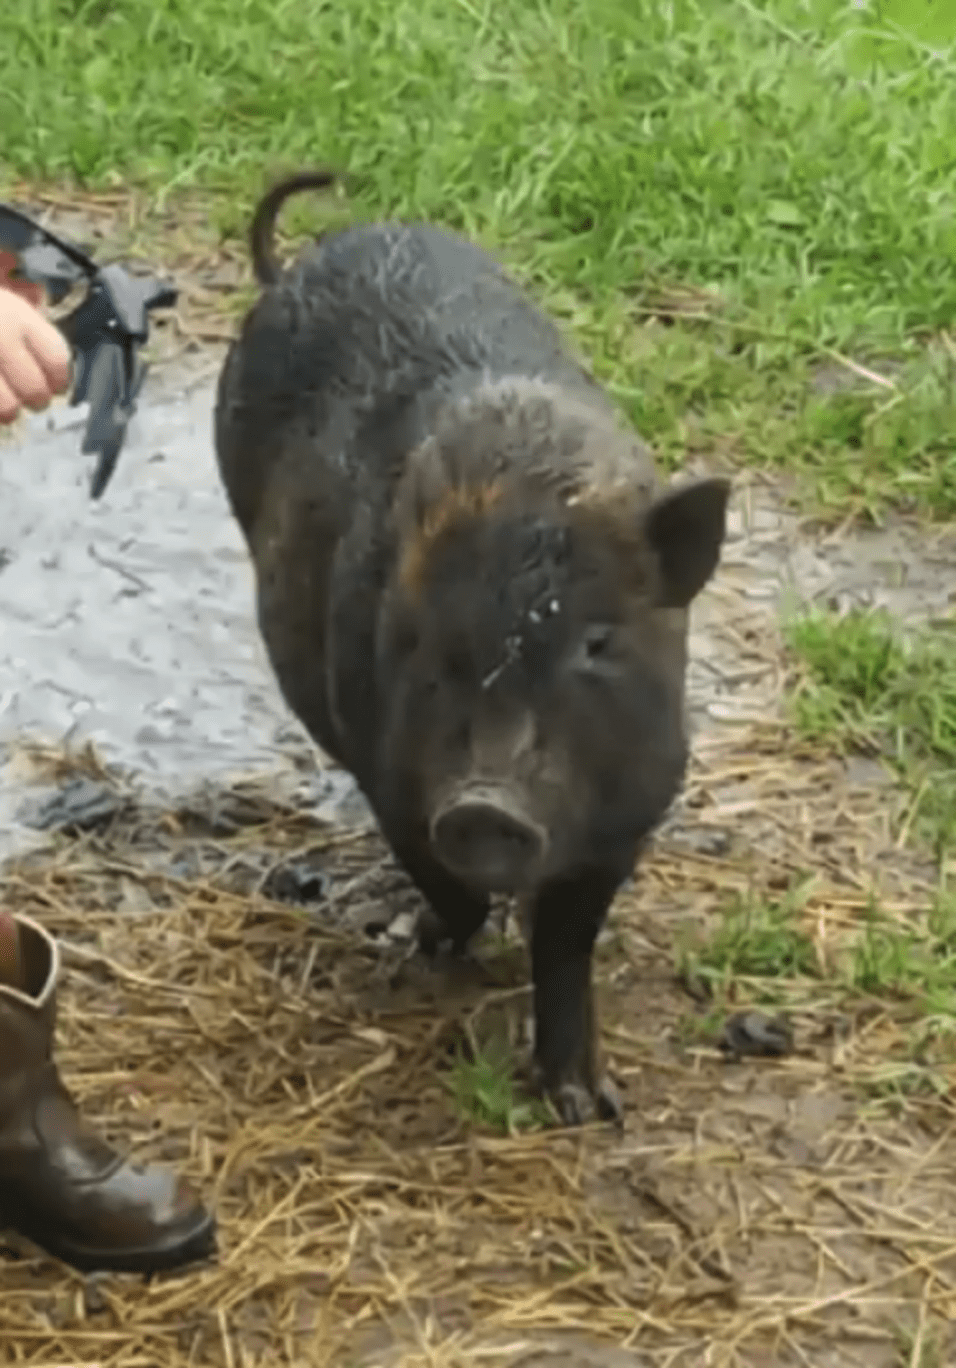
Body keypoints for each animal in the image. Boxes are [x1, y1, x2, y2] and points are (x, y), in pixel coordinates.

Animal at [214, 169, 730, 1125]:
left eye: (598, 641)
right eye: (432, 644)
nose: (487, 804)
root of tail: (295, 263)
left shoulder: (630, 810)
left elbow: (567, 949)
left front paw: (587, 1107)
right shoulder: (389, 768)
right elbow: (442, 881)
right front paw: (423, 940)